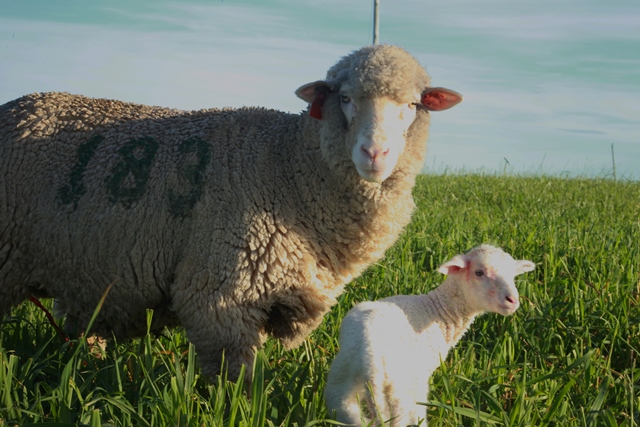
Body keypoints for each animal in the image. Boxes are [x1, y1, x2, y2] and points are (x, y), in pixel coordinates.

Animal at [0, 44, 460, 382]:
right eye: (345, 98)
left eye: (413, 105)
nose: (374, 154)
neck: (288, 166)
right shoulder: (222, 293)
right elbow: (233, 381)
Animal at [324, 246, 536, 426]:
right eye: (479, 272)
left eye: (513, 275)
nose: (513, 301)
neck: (436, 311)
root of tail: (369, 354)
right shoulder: (420, 378)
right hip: (398, 393)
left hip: (341, 393)